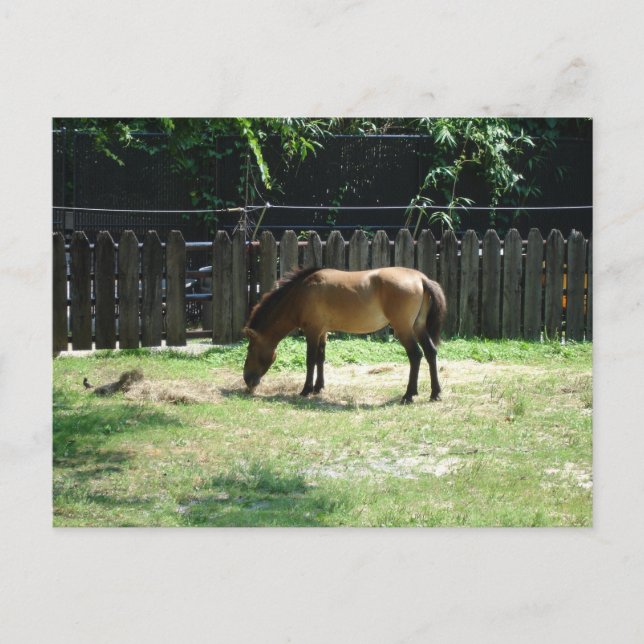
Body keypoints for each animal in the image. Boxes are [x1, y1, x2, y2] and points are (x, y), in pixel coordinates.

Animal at [243, 266, 446, 404]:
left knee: (416, 356)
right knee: (430, 353)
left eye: (250, 349)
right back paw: (435, 393)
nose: (247, 380)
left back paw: (409, 394)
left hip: (403, 329)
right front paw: (318, 387)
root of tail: (420, 278)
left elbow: (310, 360)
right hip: (418, 327)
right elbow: (320, 359)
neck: (301, 293)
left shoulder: (312, 331)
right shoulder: (323, 332)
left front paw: (306, 390)